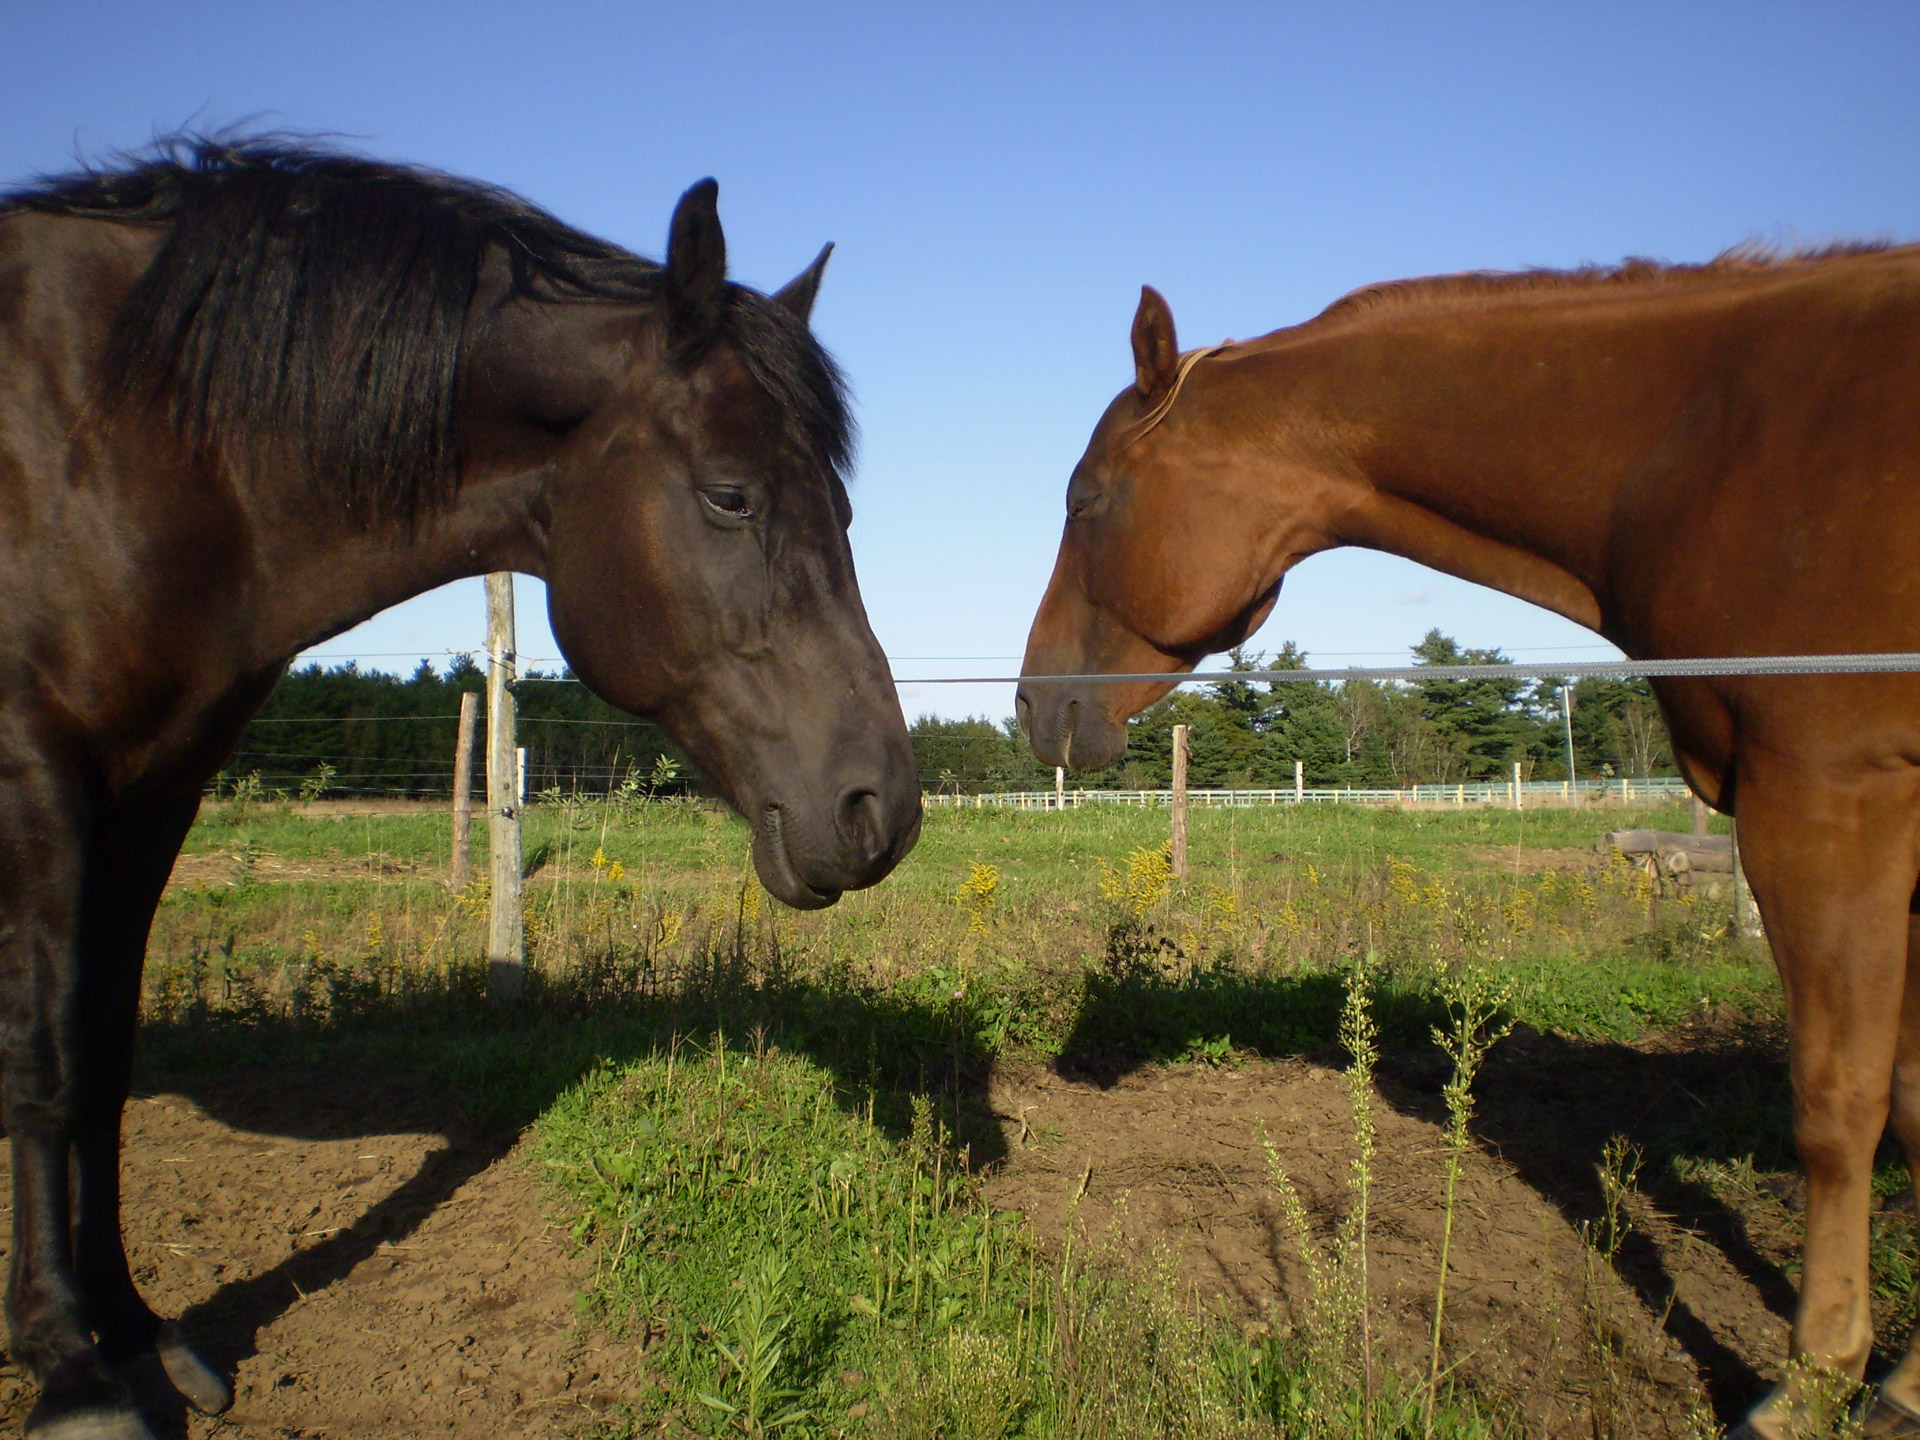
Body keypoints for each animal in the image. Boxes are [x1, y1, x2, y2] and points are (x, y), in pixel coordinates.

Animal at [0, 144, 921, 1440]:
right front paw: (69, 1369)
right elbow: (44, 1063)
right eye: (734, 494)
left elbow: (101, 1053)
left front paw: (134, 1330)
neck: (120, 432)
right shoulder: (36, 761)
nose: (879, 809)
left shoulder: (154, 782)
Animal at [1029, 251, 1920, 1440]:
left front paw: (1814, 1380)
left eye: (1085, 500)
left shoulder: (1831, 801)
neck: (1705, 447)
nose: (1030, 707)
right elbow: (1912, 1096)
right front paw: (1901, 1384)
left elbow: (1839, 1103)